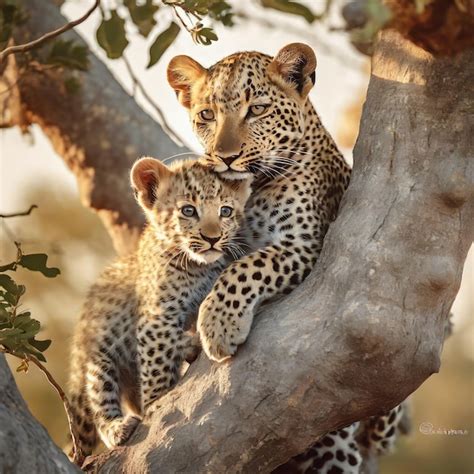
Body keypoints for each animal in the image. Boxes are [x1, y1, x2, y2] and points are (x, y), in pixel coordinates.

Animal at [167, 43, 404, 470]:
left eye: (257, 110)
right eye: (207, 115)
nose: (225, 157)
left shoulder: (305, 245)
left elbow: (246, 267)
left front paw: (218, 326)